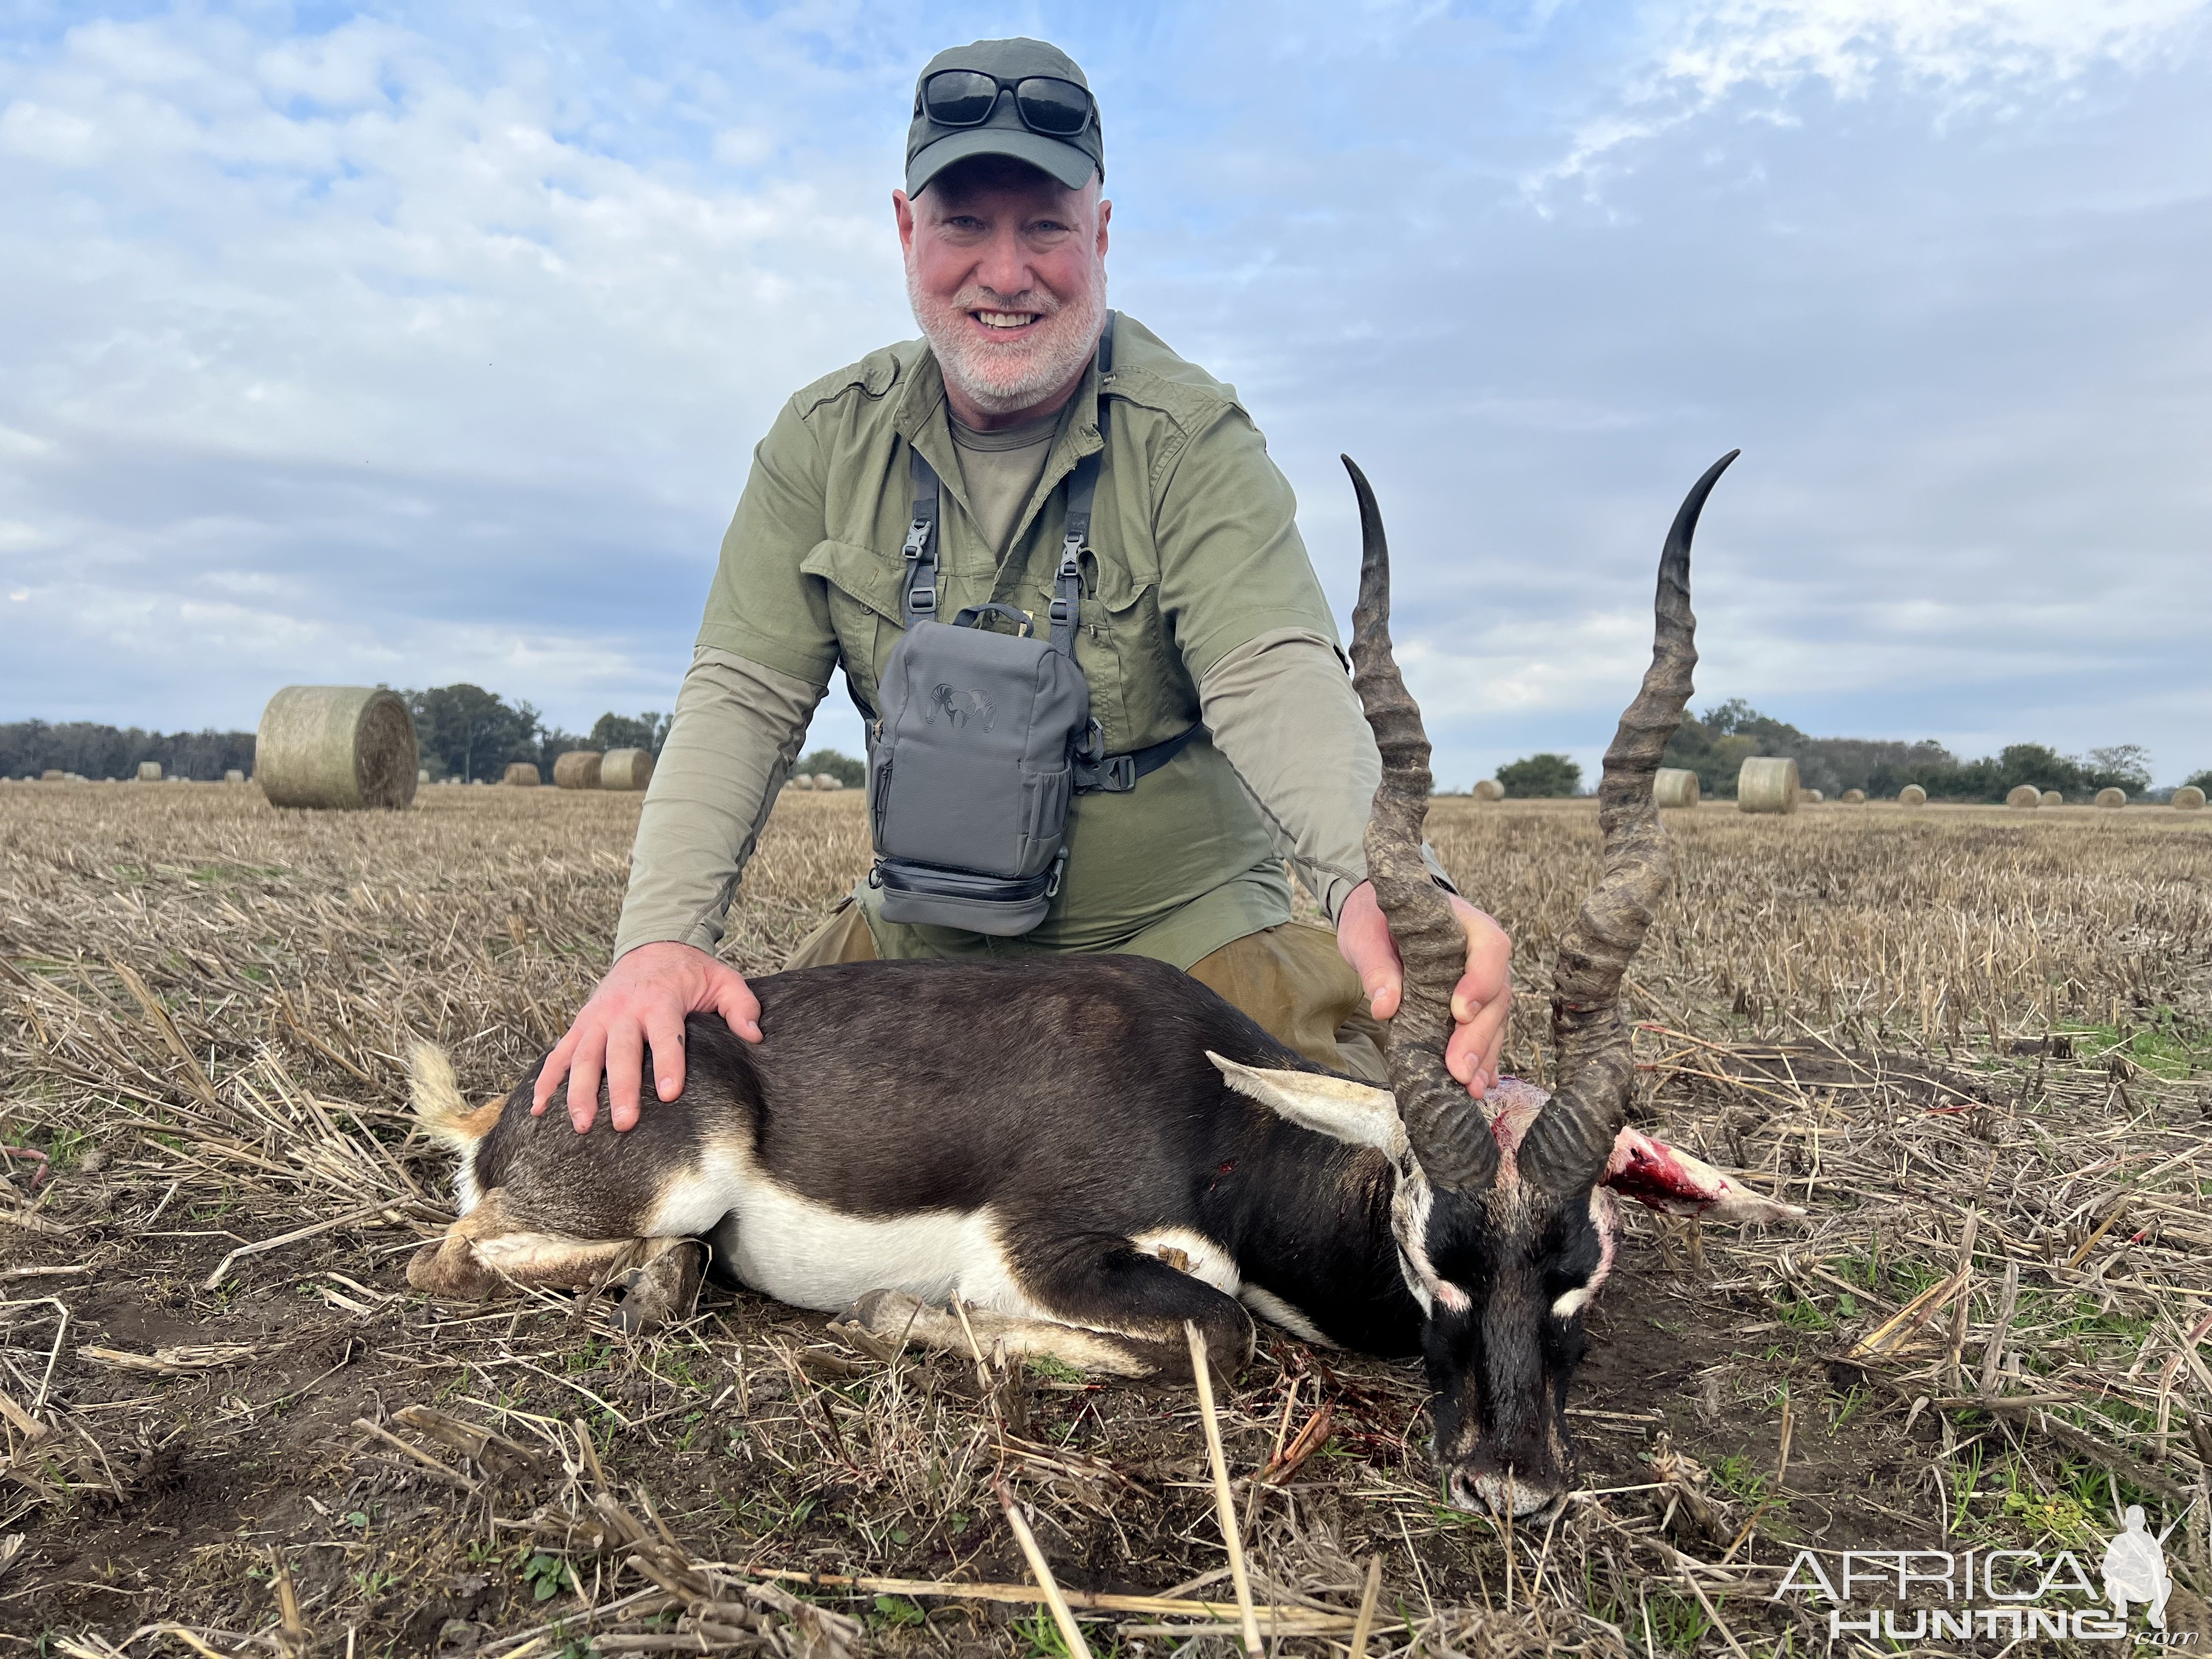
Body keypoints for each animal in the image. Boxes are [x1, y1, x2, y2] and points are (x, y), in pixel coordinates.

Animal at [411, 449, 1796, 1513]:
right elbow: (1214, 1330)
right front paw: (902, 1318)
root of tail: (511, 1103)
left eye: (1583, 1268)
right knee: (454, 1257)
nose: (1509, 1483)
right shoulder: (1050, 1250)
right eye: (1431, 1249)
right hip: (678, 1174)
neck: (1226, 1138)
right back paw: (650, 1282)